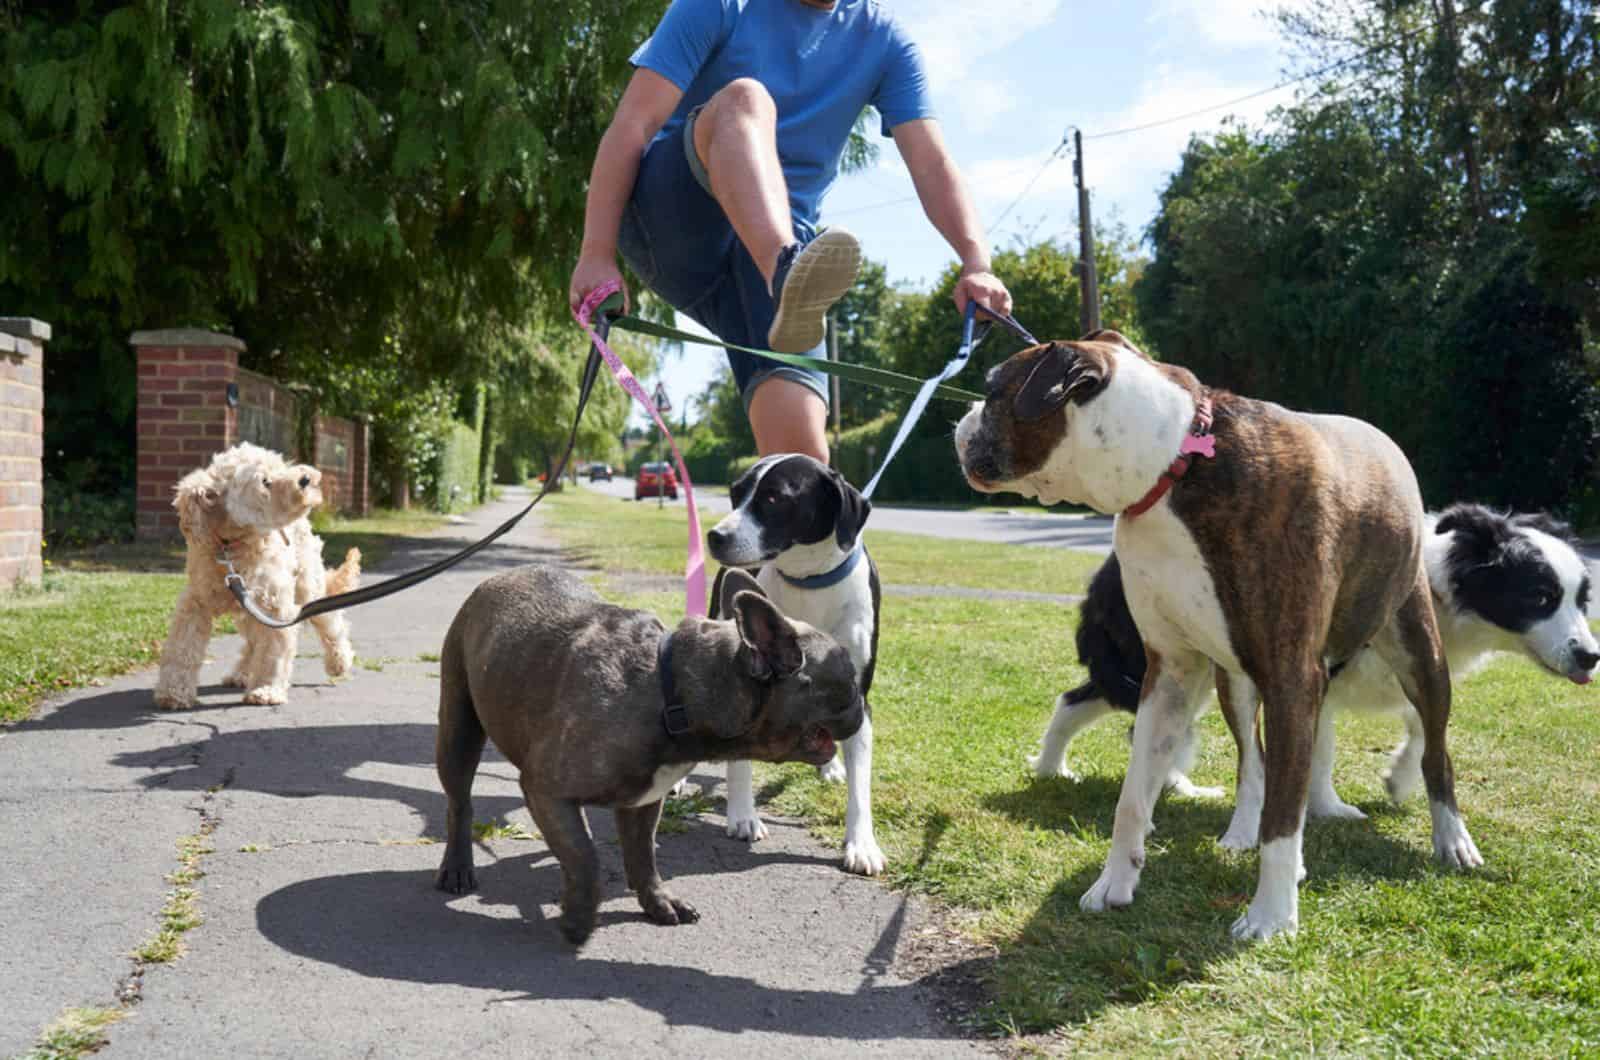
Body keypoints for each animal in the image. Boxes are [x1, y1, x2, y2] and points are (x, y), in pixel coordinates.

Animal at [151, 445, 361, 710]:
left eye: (280, 466)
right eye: (265, 481)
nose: (306, 478)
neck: (232, 548)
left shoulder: (276, 608)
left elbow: (273, 652)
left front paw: (266, 690)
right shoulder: (196, 603)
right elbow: (181, 647)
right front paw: (173, 692)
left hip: (307, 588)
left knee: (331, 623)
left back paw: (339, 661)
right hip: (250, 610)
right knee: (252, 643)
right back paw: (240, 674)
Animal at [707, 451, 889, 877]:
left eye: (774, 498)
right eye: (735, 493)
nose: (715, 536)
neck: (809, 582)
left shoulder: (858, 696)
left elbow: (861, 783)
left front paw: (862, 844)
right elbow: (739, 761)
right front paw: (743, 814)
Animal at [947, 329, 1484, 941]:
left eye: (993, 390)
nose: (963, 417)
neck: (1175, 468)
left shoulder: (1292, 679)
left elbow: (1285, 815)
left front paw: (1272, 915)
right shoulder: (1170, 675)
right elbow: (1135, 797)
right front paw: (1115, 881)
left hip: (1419, 656)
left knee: (1433, 754)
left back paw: (1451, 839)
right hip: (1234, 682)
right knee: (1254, 764)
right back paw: (1242, 830)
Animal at [1030, 505, 1593, 858]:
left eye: (1583, 598)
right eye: (1540, 596)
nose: (1592, 655)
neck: (1438, 587)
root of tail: (1106, 572)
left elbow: (1420, 729)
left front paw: (1397, 779)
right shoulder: (1313, 679)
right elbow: (1320, 754)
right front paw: (1326, 806)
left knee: (1078, 700)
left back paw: (1061, 769)